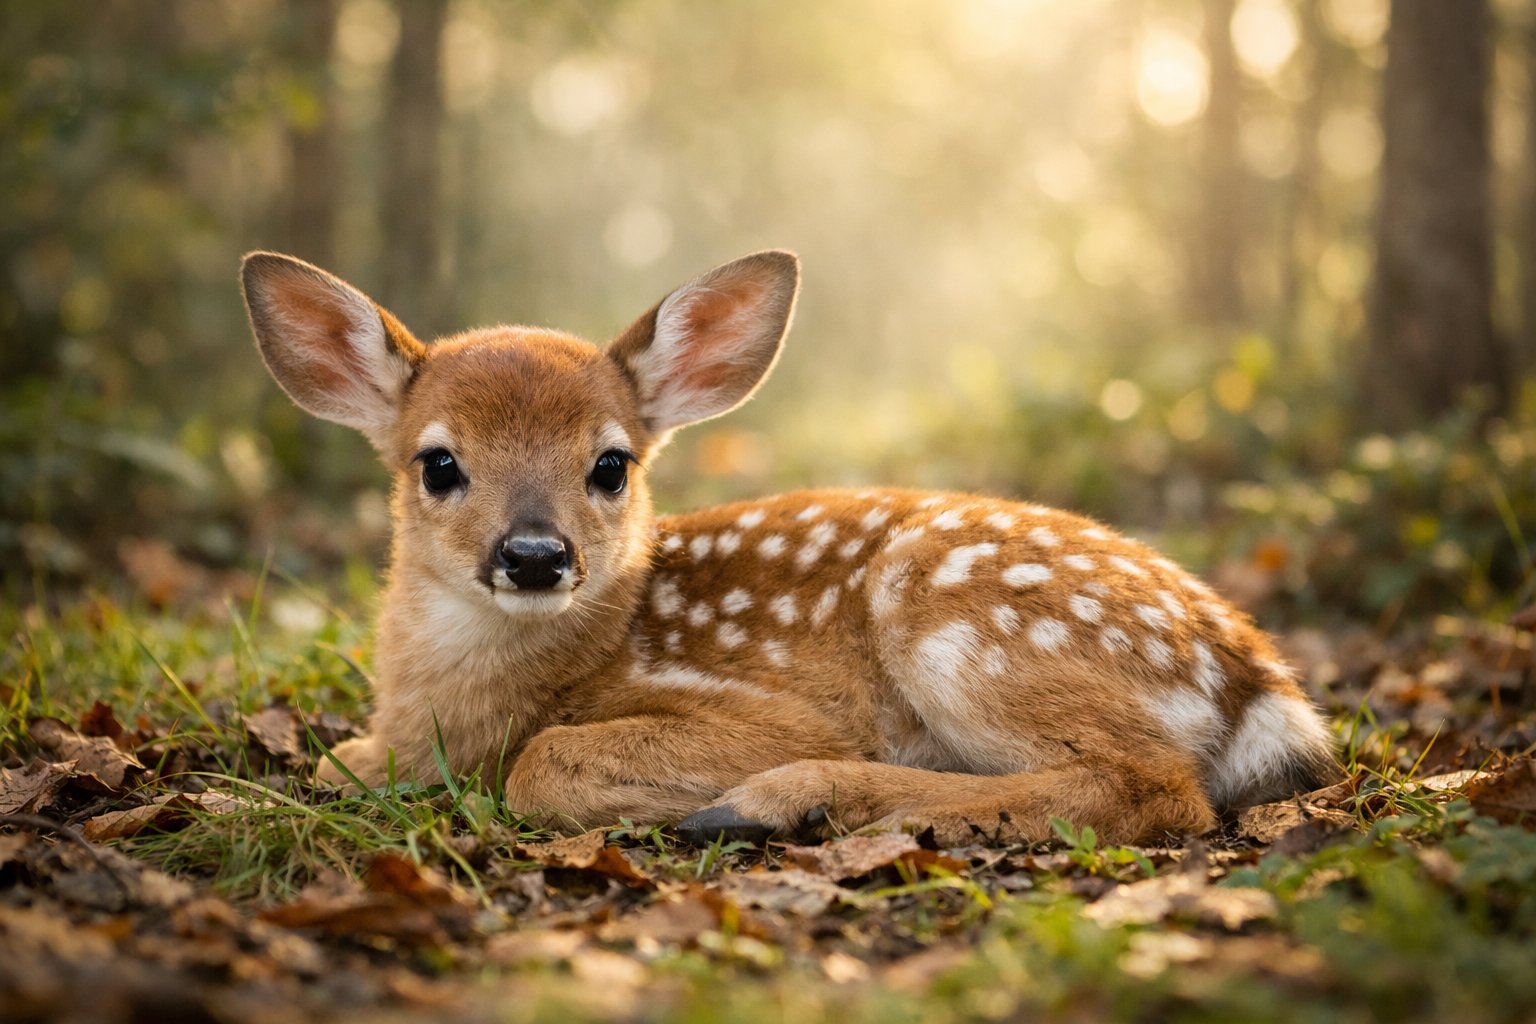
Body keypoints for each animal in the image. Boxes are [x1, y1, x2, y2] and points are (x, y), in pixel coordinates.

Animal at [240, 248, 1338, 847]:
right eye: (437, 464)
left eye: (611, 464)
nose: (536, 555)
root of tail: (1253, 676)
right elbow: (335, 762)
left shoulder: (775, 707)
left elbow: (540, 762)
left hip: (957, 617)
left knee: (1154, 786)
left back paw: (779, 805)